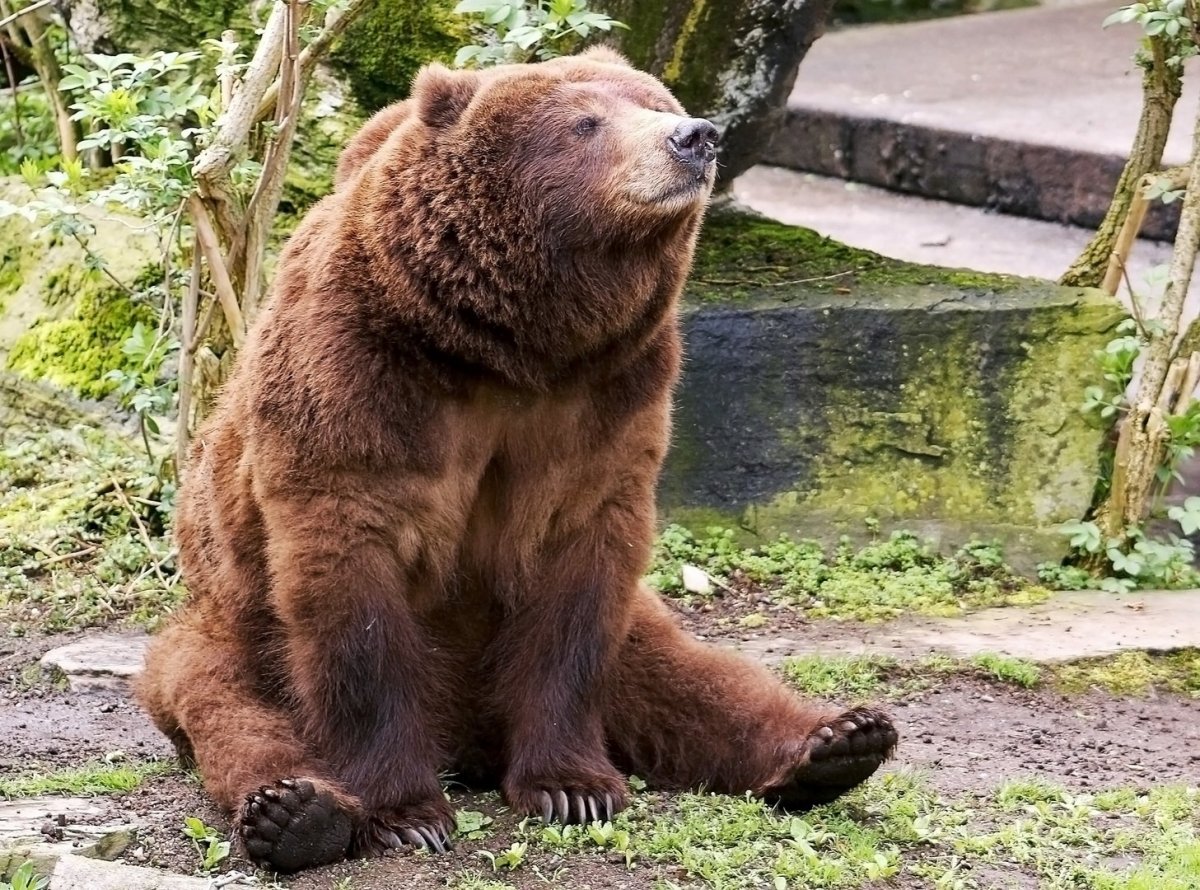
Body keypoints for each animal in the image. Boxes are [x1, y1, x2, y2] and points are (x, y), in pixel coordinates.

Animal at [137, 47, 898, 874]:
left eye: (657, 103)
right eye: (585, 122)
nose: (696, 136)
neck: (509, 346)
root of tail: (468, 739)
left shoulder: (606, 400)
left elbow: (577, 589)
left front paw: (572, 788)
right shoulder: (357, 379)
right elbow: (353, 589)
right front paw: (406, 814)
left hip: (627, 634)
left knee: (690, 677)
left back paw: (839, 742)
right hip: (230, 632)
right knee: (232, 710)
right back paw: (298, 811)